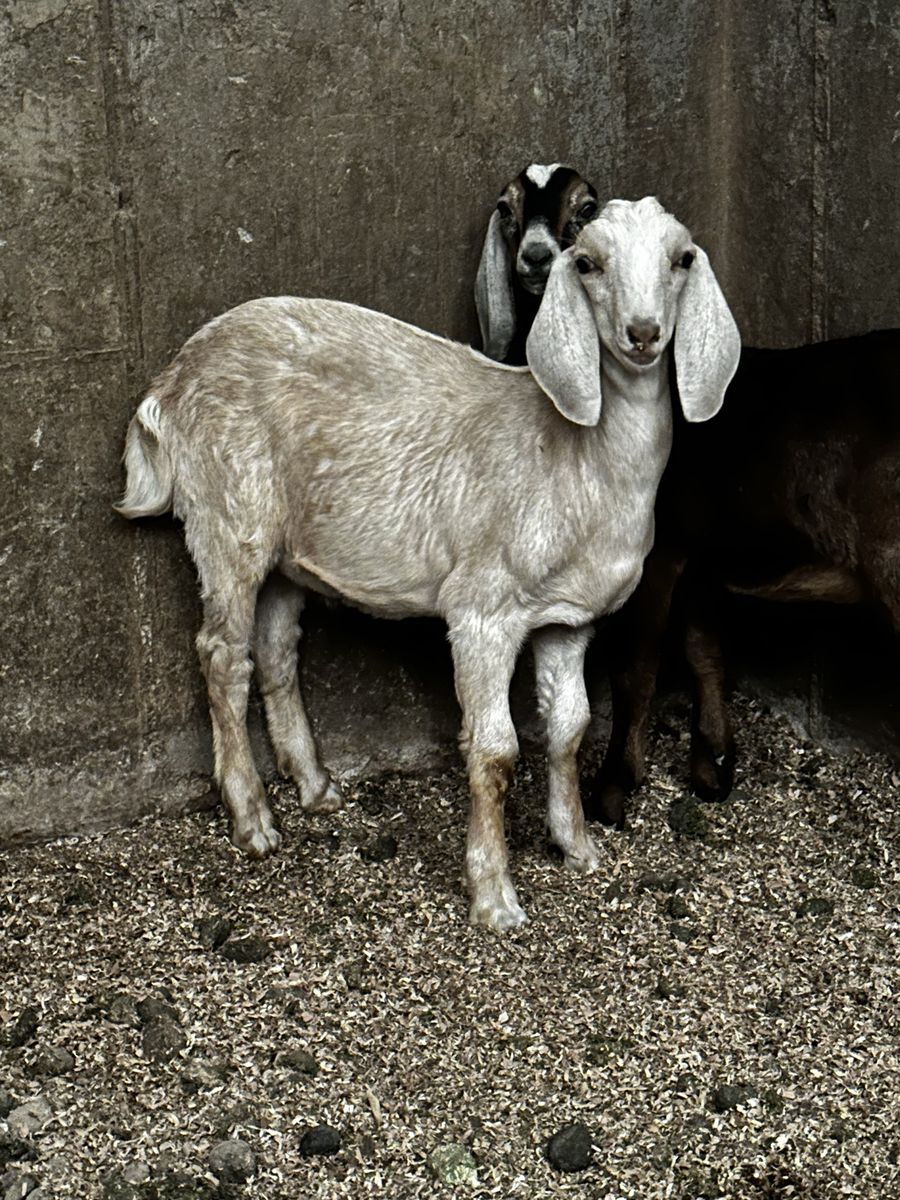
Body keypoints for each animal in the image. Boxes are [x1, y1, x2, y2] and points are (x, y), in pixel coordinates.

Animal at [115, 197, 739, 931]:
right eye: (587, 263)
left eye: (682, 258)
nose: (642, 334)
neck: (570, 454)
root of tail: (168, 383)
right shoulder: (482, 611)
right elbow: (496, 750)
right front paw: (494, 896)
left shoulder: (569, 619)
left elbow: (570, 730)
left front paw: (578, 846)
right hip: (226, 516)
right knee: (221, 654)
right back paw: (252, 818)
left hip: (289, 550)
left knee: (276, 649)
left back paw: (314, 785)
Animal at [585, 329, 900, 828]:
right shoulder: (701, 559)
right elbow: (703, 651)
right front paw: (712, 767)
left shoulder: (657, 550)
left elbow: (635, 667)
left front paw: (612, 790)